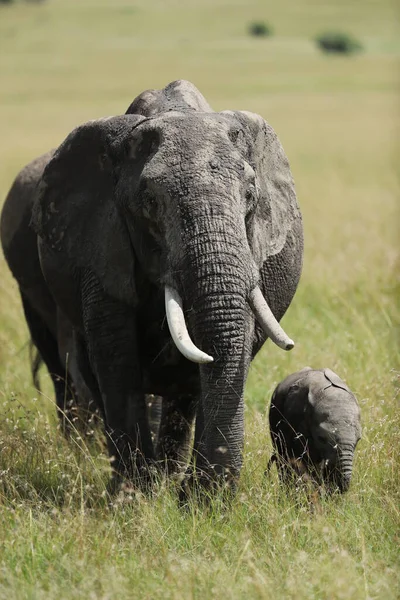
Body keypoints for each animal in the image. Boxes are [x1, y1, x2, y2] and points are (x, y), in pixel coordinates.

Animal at [30, 81, 304, 496]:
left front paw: (200, 502)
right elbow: (115, 357)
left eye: (251, 197)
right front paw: (133, 498)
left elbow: (234, 342)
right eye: (150, 203)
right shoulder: (102, 245)